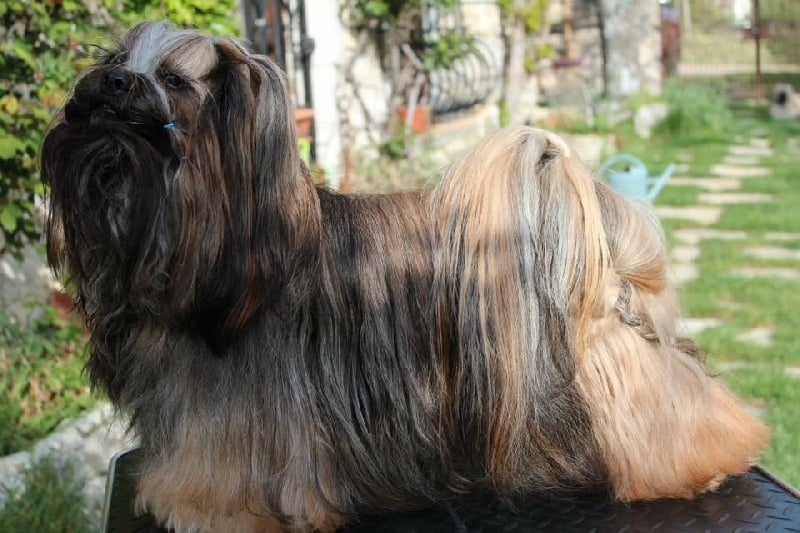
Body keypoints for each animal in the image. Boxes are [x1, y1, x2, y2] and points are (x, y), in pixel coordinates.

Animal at [41, 21, 768, 532]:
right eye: (114, 63)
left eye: (174, 79)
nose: (107, 86)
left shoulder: (246, 413)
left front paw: (205, 507)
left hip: (608, 361)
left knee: (674, 394)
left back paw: (708, 455)